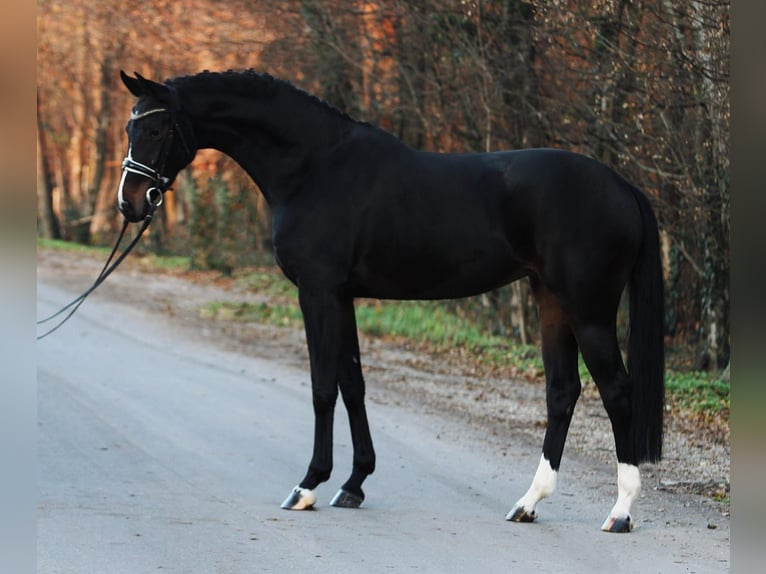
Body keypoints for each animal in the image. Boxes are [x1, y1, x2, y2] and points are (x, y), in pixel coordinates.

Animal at [117, 71, 664, 536]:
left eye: (158, 127)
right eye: (130, 125)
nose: (130, 202)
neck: (314, 165)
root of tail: (622, 185)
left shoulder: (317, 291)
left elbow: (322, 388)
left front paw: (307, 485)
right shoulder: (341, 296)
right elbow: (352, 384)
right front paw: (353, 484)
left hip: (589, 312)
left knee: (617, 391)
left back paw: (619, 513)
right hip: (550, 303)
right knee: (562, 392)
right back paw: (529, 503)